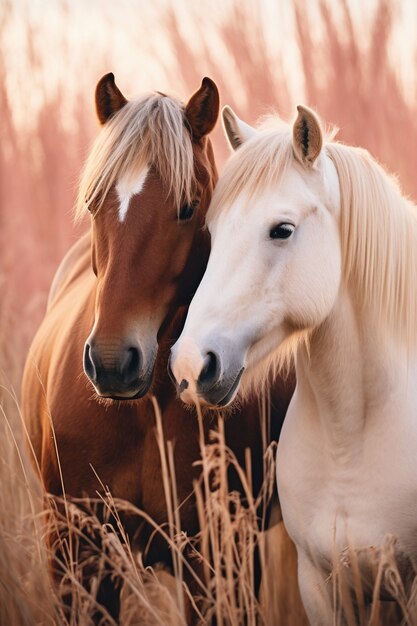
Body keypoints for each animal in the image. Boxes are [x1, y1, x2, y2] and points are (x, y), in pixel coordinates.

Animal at [22, 73, 296, 620]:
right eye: (93, 203)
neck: (143, 412)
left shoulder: (218, 562)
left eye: (188, 208)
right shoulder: (76, 558)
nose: (112, 362)